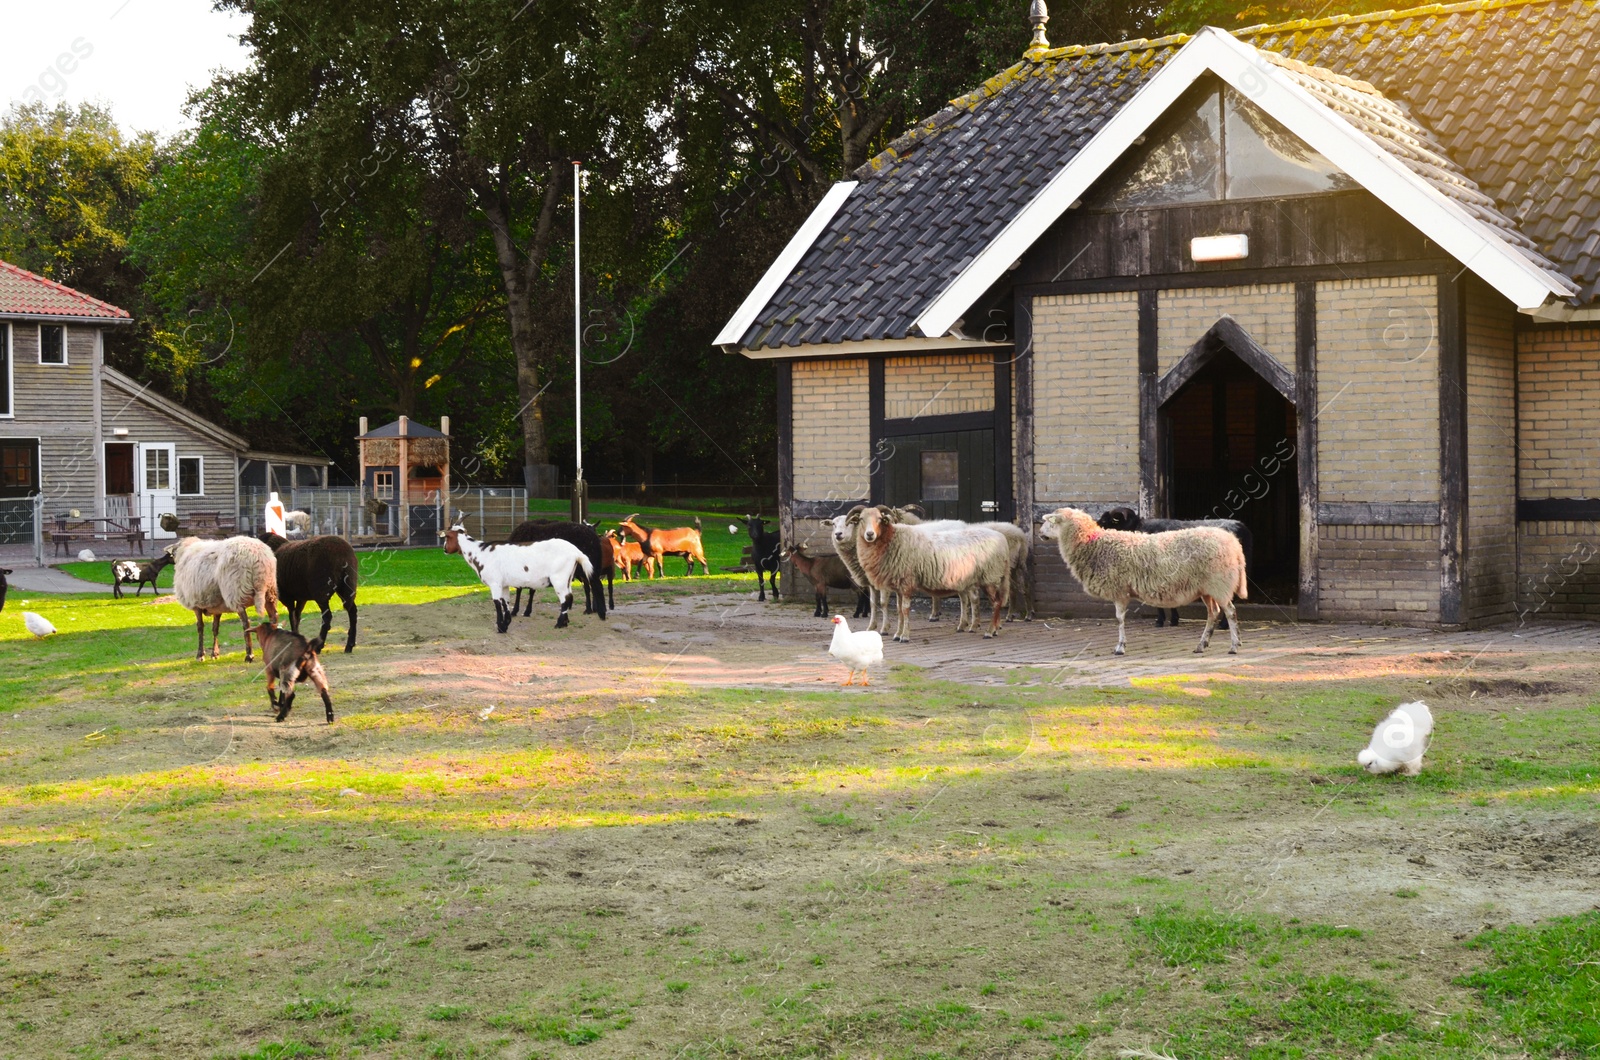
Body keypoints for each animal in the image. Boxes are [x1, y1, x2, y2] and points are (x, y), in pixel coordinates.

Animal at [444, 521, 595, 630]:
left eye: (446, 537)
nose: (444, 549)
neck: (480, 553)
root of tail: (576, 552)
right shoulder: (504, 584)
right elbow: (505, 602)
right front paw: (506, 623)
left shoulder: (495, 583)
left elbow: (497, 603)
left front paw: (500, 627)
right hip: (568, 578)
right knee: (569, 597)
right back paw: (565, 622)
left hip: (559, 578)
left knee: (565, 598)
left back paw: (559, 623)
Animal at [857, 505, 1004, 643]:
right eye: (861, 519)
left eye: (880, 519)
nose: (869, 534)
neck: (893, 538)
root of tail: (1000, 538)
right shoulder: (898, 586)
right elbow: (897, 610)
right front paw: (897, 634)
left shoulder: (906, 583)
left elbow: (904, 609)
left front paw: (904, 636)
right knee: (977, 600)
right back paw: (986, 628)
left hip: (990, 577)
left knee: (994, 602)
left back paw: (989, 631)